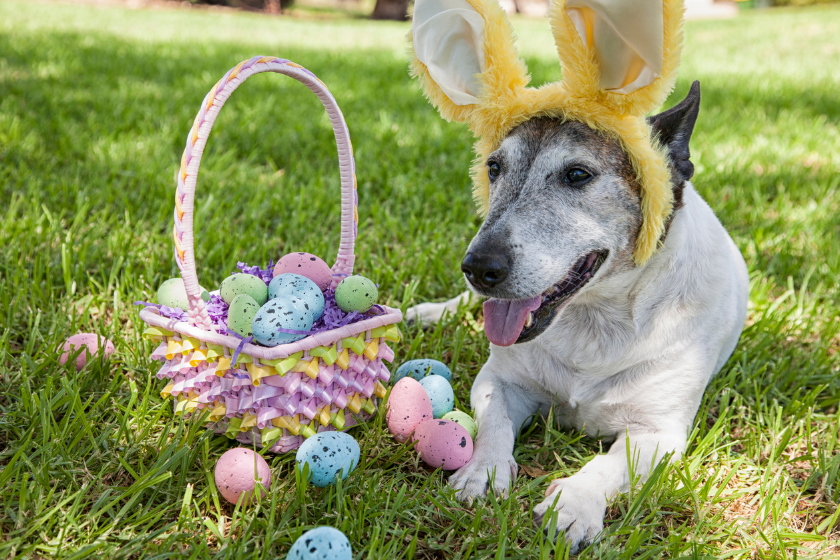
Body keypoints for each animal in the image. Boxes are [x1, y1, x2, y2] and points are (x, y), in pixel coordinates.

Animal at [406, 83, 748, 552]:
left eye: (578, 175)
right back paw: (430, 313)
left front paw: (574, 504)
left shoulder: (658, 432)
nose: (478, 268)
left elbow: (608, 465)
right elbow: (493, 423)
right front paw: (482, 472)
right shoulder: (499, 381)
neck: (594, 318)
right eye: (494, 167)